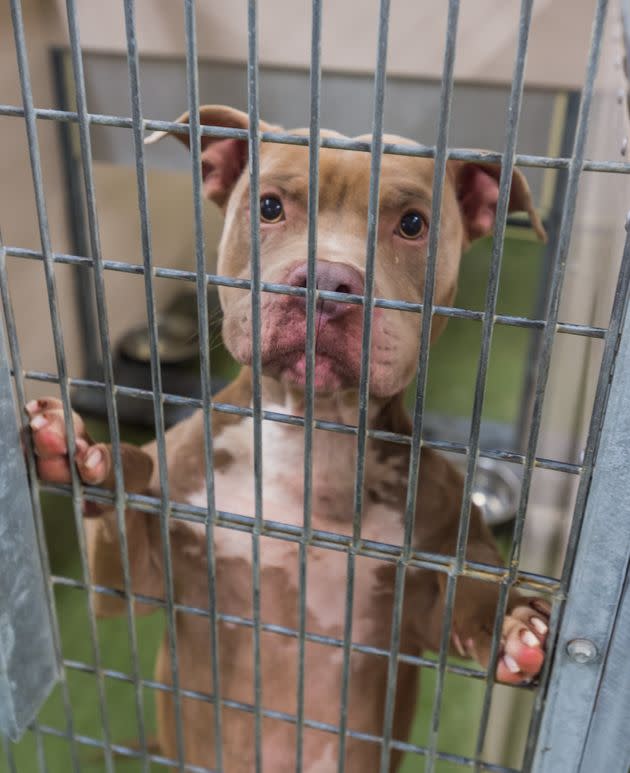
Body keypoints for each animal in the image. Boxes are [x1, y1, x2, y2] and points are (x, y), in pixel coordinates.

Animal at [29, 104, 552, 772]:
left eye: (413, 224)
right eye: (270, 206)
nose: (327, 280)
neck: (309, 435)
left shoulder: (421, 600)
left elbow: (475, 587)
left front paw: (515, 626)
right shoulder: (132, 584)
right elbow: (126, 509)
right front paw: (81, 454)